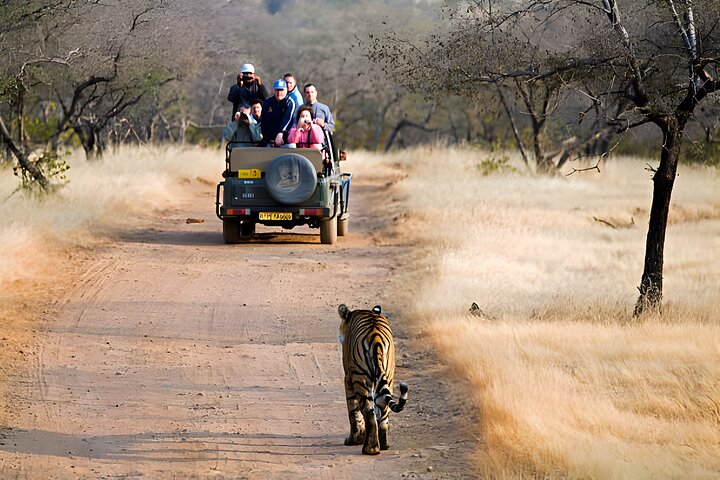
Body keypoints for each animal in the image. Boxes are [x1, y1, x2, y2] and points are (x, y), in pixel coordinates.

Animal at [338, 303, 409, 455]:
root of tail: (376, 339)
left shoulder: (348, 378)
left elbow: (353, 412)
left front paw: (353, 439)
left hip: (360, 378)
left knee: (368, 413)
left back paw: (370, 449)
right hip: (388, 375)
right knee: (383, 411)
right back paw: (383, 444)